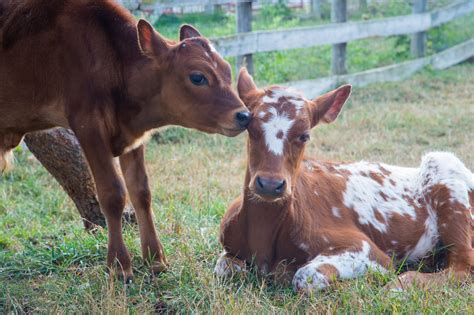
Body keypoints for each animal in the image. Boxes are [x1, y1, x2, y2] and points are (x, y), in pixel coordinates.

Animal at [0, 0, 252, 282]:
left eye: (227, 70)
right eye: (198, 77)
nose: (244, 115)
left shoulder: (132, 137)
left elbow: (141, 191)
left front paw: (155, 259)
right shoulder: (88, 126)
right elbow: (112, 194)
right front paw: (119, 265)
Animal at [216, 68, 474, 294]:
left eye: (304, 135)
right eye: (250, 128)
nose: (270, 184)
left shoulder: (368, 250)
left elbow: (304, 276)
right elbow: (224, 269)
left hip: (445, 171)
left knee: (462, 267)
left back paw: (400, 286)